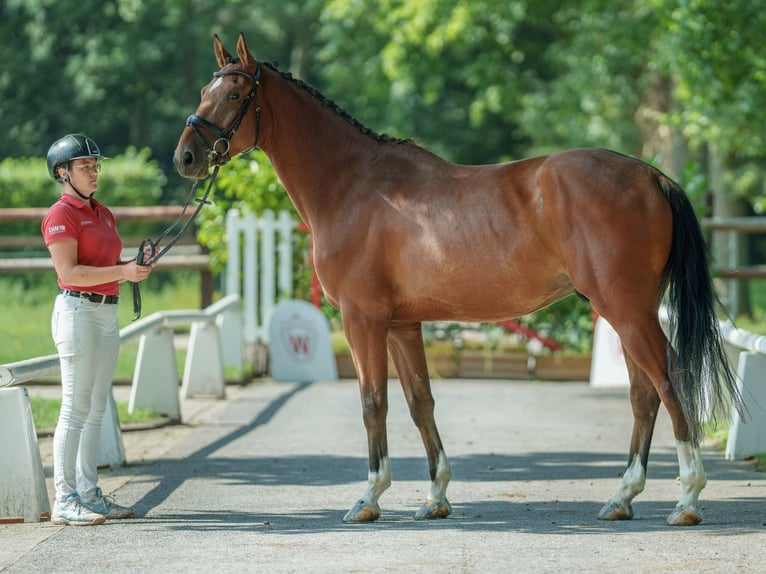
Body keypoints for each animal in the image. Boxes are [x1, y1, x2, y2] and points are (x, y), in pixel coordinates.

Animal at [174, 31, 744, 528]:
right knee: (643, 395)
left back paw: (687, 500)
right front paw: (435, 497)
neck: (354, 186)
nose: (185, 157)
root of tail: (652, 176)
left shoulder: (363, 320)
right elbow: (419, 402)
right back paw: (622, 497)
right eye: (204, 91)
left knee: (668, 383)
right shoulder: (402, 325)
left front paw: (368, 498)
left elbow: (373, 403)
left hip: (626, 311)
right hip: (623, 312)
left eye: (234, 93)